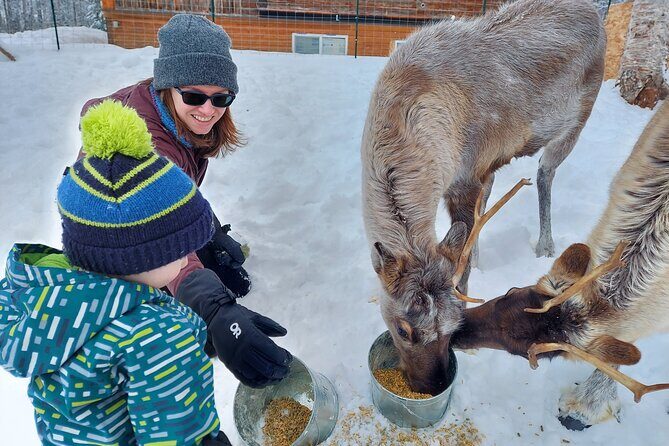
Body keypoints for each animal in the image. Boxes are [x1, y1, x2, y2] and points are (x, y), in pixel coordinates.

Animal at [361, 0, 606, 395]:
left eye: (454, 327)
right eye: (402, 329)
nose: (434, 384)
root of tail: (595, 12)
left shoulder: (467, 174)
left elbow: (462, 267)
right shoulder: (474, 171)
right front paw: (474, 256)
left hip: (575, 122)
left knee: (545, 173)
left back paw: (545, 243)